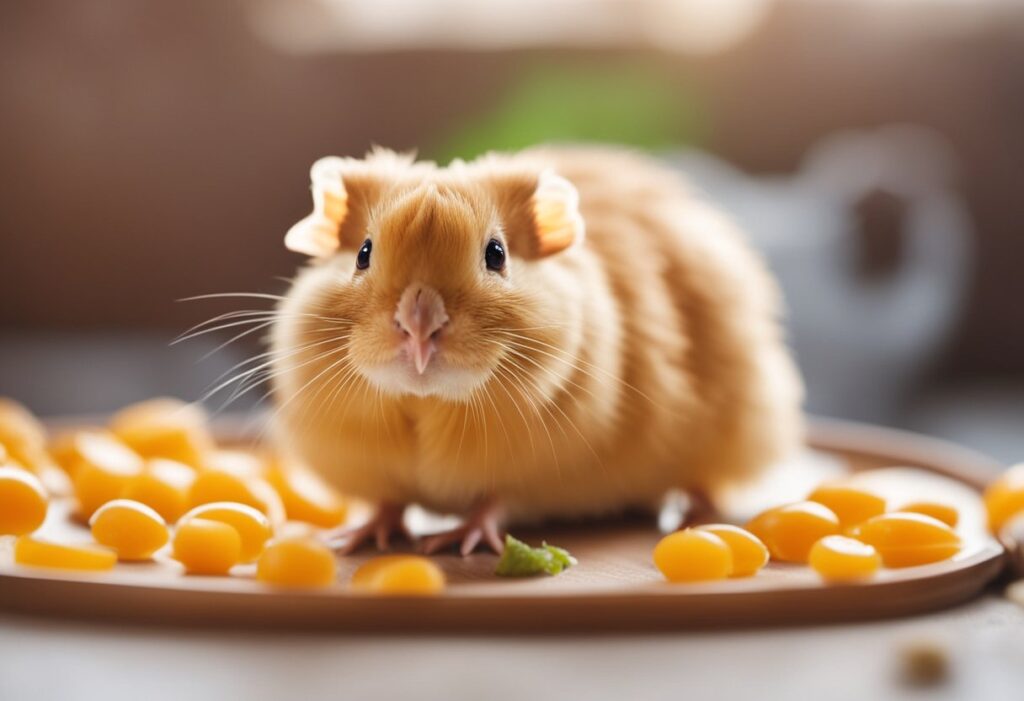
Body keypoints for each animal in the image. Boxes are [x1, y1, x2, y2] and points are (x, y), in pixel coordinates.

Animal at [270, 146, 803, 554]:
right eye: (363, 253)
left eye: (496, 254)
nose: (419, 327)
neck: (428, 403)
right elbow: (389, 502)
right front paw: (356, 539)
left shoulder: (530, 469)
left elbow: (493, 501)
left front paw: (458, 543)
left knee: (706, 479)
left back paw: (693, 513)